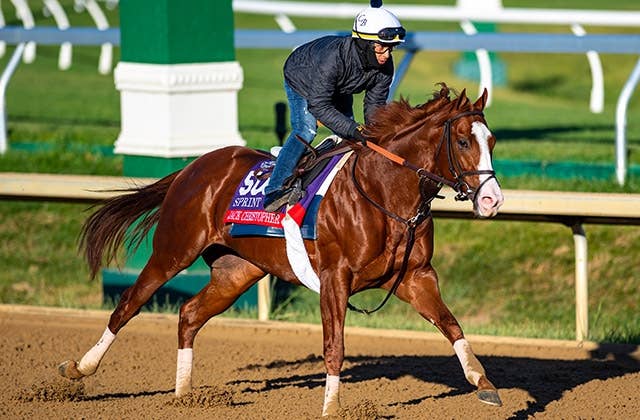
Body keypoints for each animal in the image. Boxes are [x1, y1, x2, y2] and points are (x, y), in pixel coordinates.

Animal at [58, 83, 504, 416]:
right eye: (463, 141)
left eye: (493, 140)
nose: (492, 200)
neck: (384, 194)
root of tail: (193, 167)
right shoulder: (335, 278)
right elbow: (334, 346)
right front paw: (331, 409)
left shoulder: (416, 276)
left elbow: (451, 325)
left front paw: (484, 383)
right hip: (173, 250)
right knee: (128, 305)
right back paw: (80, 367)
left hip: (237, 271)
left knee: (189, 314)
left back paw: (185, 396)